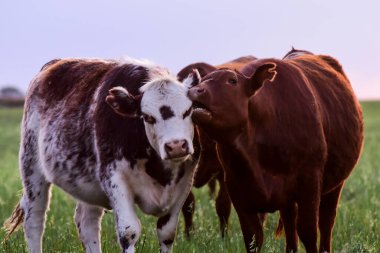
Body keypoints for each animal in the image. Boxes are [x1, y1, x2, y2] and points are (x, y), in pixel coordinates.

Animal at [4, 57, 200, 253]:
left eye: (188, 111)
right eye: (148, 117)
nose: (176, 145)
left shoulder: (183, 185)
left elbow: (167, 233)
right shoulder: (114, 178)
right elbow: (129, 231)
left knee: (87, 222)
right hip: (32, 169)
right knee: (35, 219)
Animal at [187, 48, 366, 252]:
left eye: (231, 80)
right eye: (201, 81)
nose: (194, 91)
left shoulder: (310, 184)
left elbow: (308, 232)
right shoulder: (238, 190)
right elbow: (253, 238)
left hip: (335, 186)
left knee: (326, 223)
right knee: (290, 225)